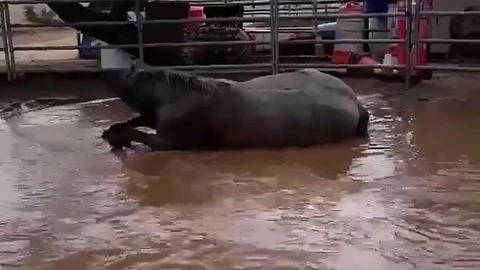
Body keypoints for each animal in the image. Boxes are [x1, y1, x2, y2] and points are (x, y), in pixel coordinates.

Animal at [102, 61, 372, 152]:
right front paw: (109, 132)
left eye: (129, 76)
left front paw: (117, 137)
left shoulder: (171, 140)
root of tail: (356, 103)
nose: (109, 74)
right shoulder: (153, 115)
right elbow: (137, 120)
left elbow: (144, 135)